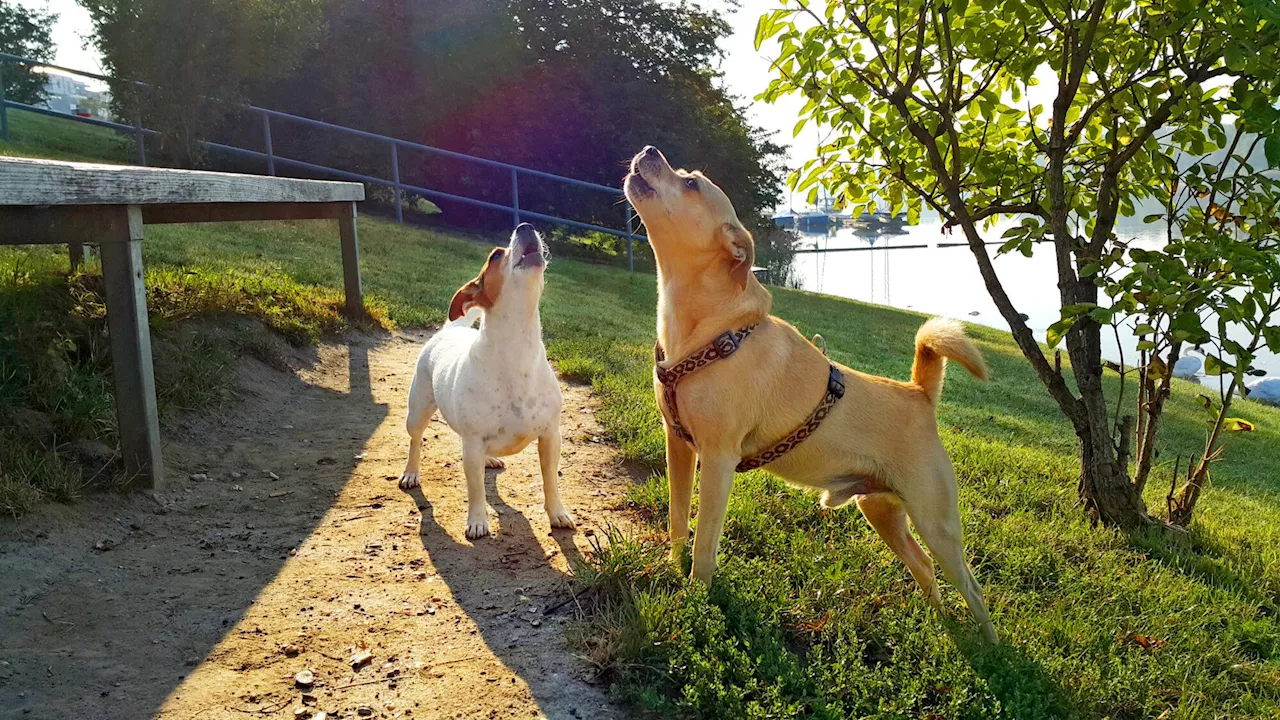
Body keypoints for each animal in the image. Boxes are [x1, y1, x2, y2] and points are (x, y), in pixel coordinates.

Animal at [399, 224, 576, 538]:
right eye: (495, 256)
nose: (526, 226)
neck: (517, 349)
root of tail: (448, 331)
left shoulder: (550, 436)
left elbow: (550, 481)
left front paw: (557, 513)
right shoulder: (472, 444)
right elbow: (476, 488)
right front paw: (477, 521)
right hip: (417, 412)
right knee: (415, 441)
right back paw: (411, 472)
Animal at [627, 144, 998, 638]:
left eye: (690, 183)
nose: (650, 149)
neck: (712, 332)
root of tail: (919, 394)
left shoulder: (719, 460)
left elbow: (705, 542)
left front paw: (696, 601)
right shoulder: (679, 446)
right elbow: (676, 518)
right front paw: (671, 568)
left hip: (935, 521)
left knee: (971, 587)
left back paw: (992, 650)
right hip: (882, 512)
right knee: (924, 566)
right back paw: (941, 623)